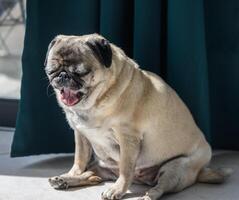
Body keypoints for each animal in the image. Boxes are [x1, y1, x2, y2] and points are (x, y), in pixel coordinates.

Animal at [44, 33, 232, 199]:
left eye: (80, 72)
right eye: (51, 70)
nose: (62, 75)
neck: (95, 103)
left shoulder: (128, 138)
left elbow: (126, 168)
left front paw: (118, 190)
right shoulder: (81, 134)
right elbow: (79, 160)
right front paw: (72, 174)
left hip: (175, 168)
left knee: (161, 186)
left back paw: (149, 195)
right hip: (102, 165)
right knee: (91, 175)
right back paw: (65, 180)